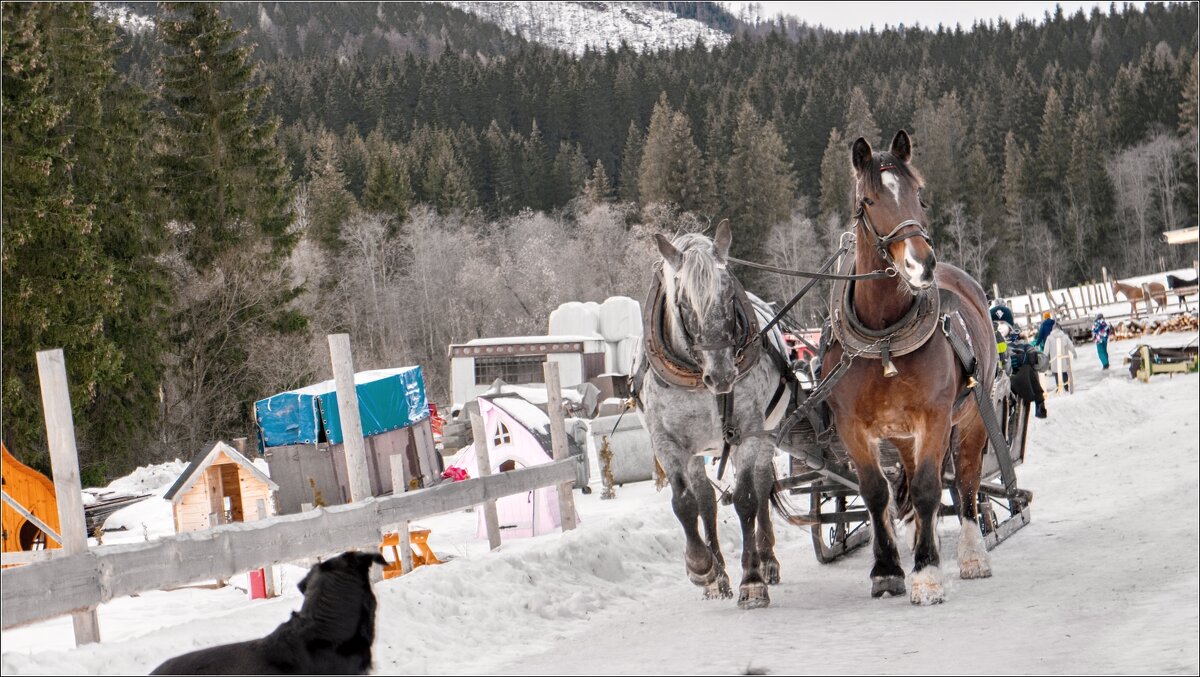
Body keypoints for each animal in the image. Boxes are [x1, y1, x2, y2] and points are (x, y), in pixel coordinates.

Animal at [633, 222, 792, 607]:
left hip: (763, 434)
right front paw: (701, 567)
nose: (722, 376)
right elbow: (685, 504)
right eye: (682, 302)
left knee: (762, 485)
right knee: (706, 500)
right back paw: (718, 575)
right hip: (700, 450)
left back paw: (767, 560)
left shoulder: (747, 431)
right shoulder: (668, 443)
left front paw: (752, 581)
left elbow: (747, 500)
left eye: (729, 293)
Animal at [820, 129, 998, 604]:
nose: (921, 264)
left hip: (971, 416)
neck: (883, 335)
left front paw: (927, 572)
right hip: (902, 435)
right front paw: (887, 569)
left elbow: (928, 489)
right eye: (868, 200)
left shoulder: (934, 417)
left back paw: (972, 554)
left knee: (966, 481)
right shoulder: (852, 428)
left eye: (918, 195)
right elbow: (876, 492)